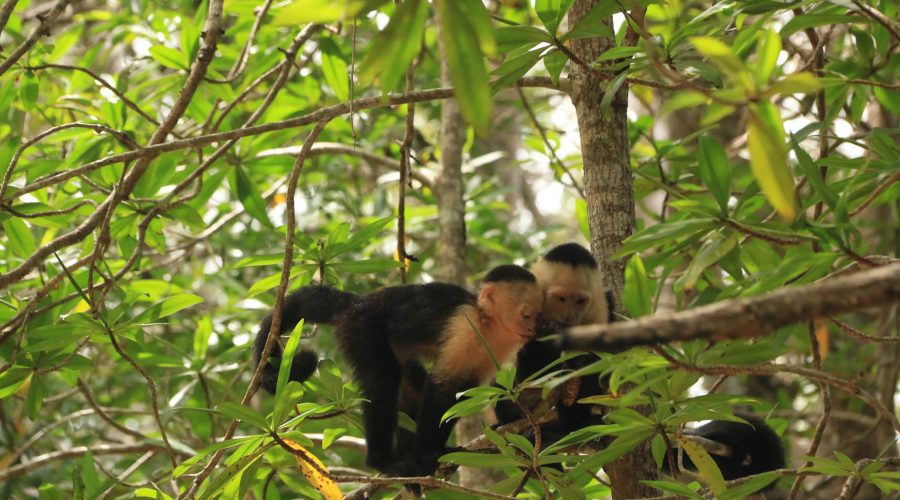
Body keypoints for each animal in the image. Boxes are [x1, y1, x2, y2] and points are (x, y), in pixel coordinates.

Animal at [251, 264, 540, 474]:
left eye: (534, 316)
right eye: (527, 314)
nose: (533, 329)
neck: (487, 321)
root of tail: (358, 302)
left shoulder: (499, 345)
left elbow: (467, 393)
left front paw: (513, 415)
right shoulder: (465, 325)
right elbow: (443, 387)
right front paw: (428, 454)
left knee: (410, 389)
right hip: (361, 329)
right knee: (384, 378)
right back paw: (383, 461)